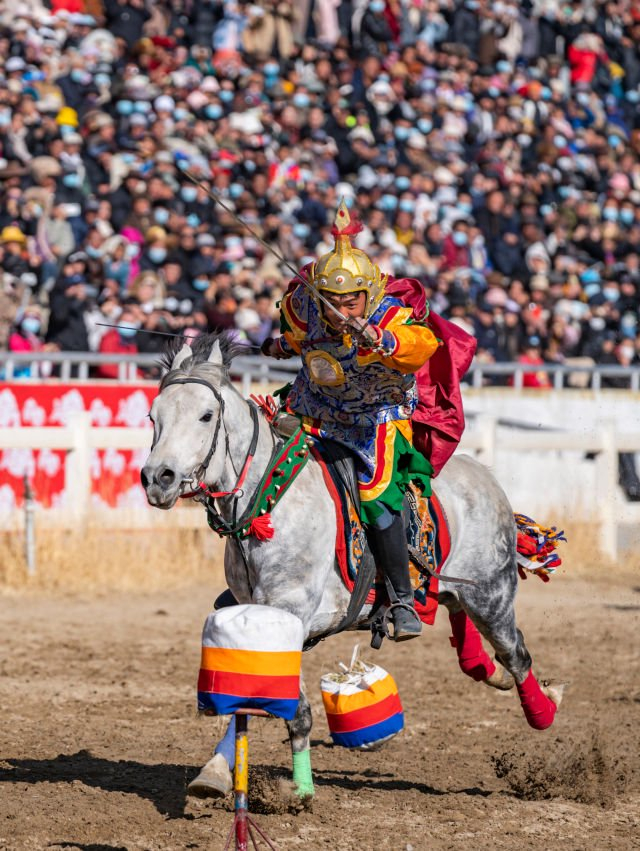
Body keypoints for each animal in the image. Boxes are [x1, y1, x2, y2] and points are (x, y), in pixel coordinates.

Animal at [141, 333, 563, 800]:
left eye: (206, 415)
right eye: (154, 416)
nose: (158, 477)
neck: (270, 501)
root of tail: (485, 476)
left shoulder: (292, 614)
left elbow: (293, 710)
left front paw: (301, 790)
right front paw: (213, 774)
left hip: (491, 595)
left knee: (516, 653)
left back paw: (543, 710)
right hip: (455, 593)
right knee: (473, 644)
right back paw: (490, 672)